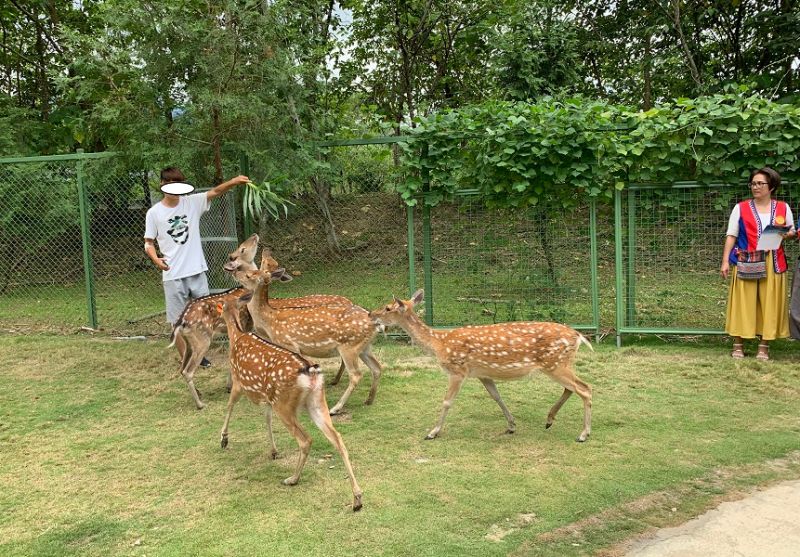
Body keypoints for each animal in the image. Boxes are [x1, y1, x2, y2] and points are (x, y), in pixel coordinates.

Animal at [171, 231, 260, 408]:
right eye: (242, 249)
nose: (254, 235)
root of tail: (181, 322)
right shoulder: (247, 324)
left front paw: (229, 386)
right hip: (202, 339)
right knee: (188, 371)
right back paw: (200, 404)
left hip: (189, 342)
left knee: (181, 368)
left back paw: (199, 394)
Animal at [214, 298, 360, 510]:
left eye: (221, 307)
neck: (236, 336)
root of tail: (311, 373)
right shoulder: (267, 398)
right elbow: (267, 420)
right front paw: (273, 451)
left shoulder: (238, 382)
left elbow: (229, 406)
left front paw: (223, 439)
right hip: (315, 402)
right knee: (337, 438)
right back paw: (357, 498)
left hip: (284, 405)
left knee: (305, 439)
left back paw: (292, 479)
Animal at [231, 262, 384, 414]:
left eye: (249, 275)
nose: (234, 271)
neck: (269, 321)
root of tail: (376, 324)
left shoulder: (289, 344)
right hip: (364, 347)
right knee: (376, 367)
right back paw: (369, 400)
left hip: (349, 346)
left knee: (356, 375)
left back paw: (336, 407)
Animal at [370, 288, 592, 440]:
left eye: (387, 307)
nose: (371, 314)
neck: (439, 343)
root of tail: (579, 336)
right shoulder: (482, 374)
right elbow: (496, 396)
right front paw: (511, 425)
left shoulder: (458, 370)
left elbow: (447, 401)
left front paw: (433, 432)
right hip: (560, 364)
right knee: (573, 388)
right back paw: (549, 420)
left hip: (556, 364)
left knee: (585, 388)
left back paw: (583, 434)